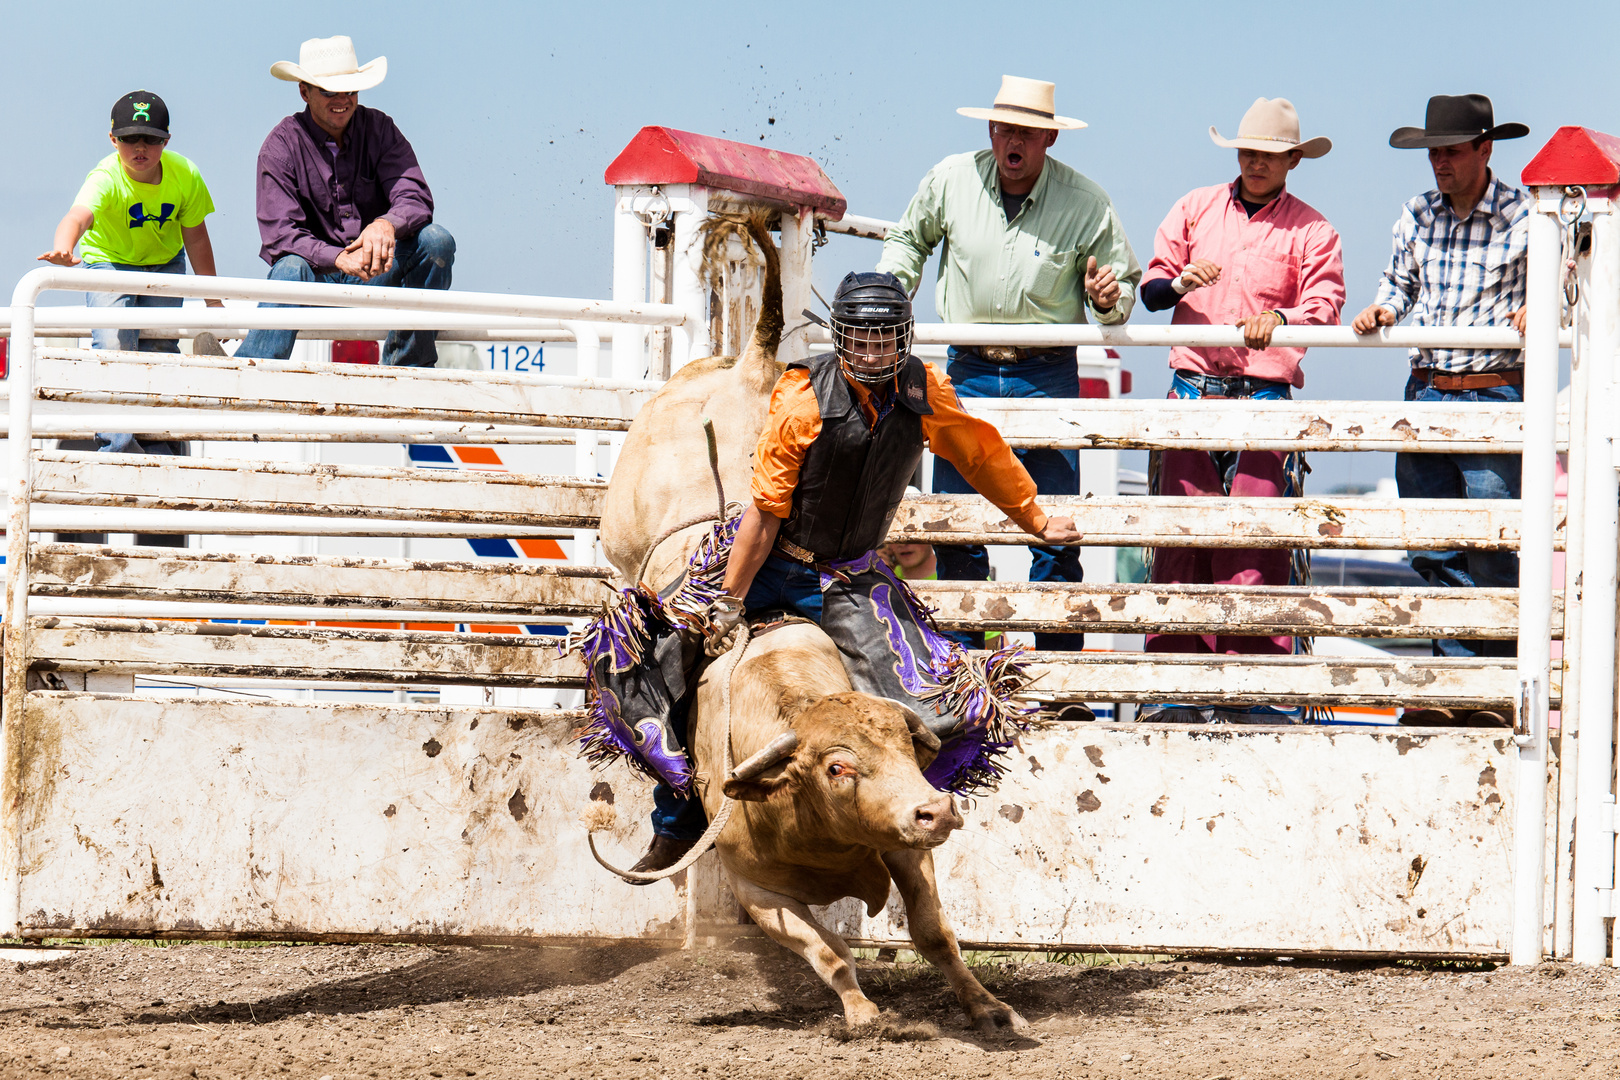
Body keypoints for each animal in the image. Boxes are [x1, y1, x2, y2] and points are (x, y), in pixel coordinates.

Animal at [589, 215, 1023, 1036]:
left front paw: (989, 1007)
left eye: (907, 749)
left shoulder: (906, 849)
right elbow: (827, 951)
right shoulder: (757, 893)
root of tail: (752, 366)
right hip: (625, 546)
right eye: (838, 766)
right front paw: (861, 1011)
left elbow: (934, 933)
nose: (935, 808)